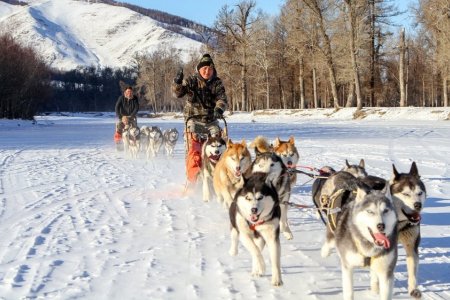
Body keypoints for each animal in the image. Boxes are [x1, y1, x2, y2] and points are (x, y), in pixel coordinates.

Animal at [390, 162, 426, 298]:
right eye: (406, 194)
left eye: (420, 193)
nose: (418, 205)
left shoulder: (411, 245)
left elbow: (412, 271)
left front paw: (413, 289)